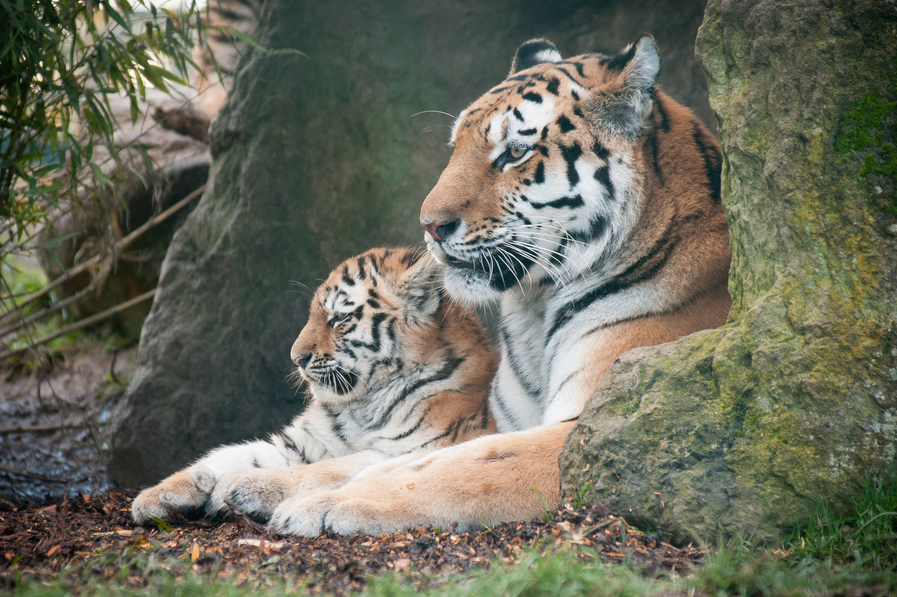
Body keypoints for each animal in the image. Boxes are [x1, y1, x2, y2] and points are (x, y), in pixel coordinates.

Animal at [133, 247, 496, 520]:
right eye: (312, 315)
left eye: (339, 318)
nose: (296, 358)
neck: (362, 403)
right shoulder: (299, 442)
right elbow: (229, 454)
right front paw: (158, 493)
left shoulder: (421, 445)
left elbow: (330, 468)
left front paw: (243, 486)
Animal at [262, 35, 732, 532]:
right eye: (456, 147)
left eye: (515, 152)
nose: (430, 225)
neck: (537, 308)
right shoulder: (499, 421)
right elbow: (383, 459)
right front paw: (254, 482)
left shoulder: (591, 427)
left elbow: (457, 468)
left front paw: (327, 504)